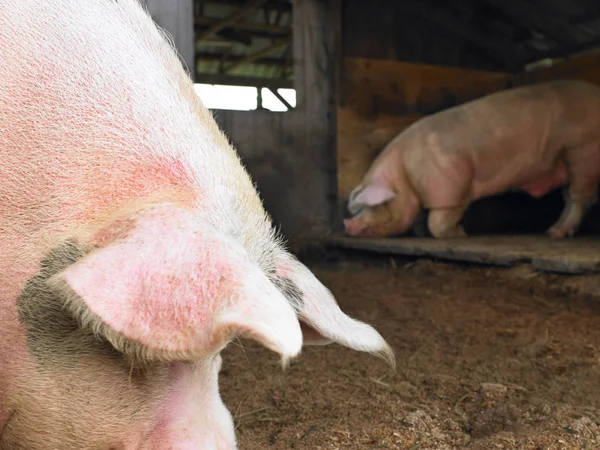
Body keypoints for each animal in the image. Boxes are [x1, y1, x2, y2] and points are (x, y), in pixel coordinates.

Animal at [344, 79, 600, 239]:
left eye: (375, 205)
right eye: (357, 208)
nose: (348, 224)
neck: (405, 172)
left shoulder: (452, 185)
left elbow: (437, 221)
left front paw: (461, 233)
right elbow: (420, 220)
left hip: (582, 152)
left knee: (579, 198)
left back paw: (556, 233)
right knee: (573, 197)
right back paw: (552, 231)